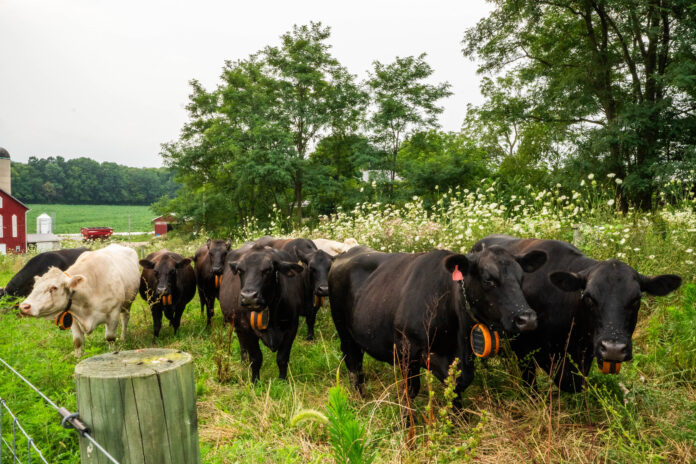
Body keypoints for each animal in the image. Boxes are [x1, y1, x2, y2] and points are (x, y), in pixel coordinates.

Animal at [219, 243, 304, 381]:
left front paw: (282, 380)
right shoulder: (246, 328)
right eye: (240, 270)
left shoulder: (292, 327)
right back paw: (244, 363)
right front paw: (255, 381)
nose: (249, 297)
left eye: (268, 270)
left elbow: (282, 358)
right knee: (243, 345)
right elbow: (256, 358)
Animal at [328, 245, 546, 404]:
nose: (527, 318)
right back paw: (359, 399)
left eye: (521, 278)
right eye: (488, 280)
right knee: (353, 363)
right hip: (344, 331)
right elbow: (410, 391)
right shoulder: (406, 350)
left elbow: (456, 385)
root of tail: (346, 252)